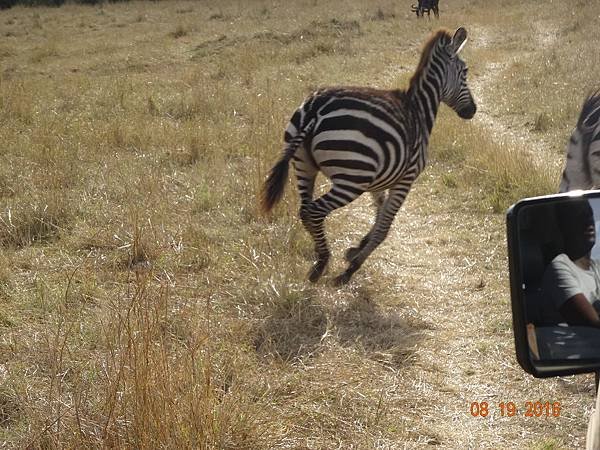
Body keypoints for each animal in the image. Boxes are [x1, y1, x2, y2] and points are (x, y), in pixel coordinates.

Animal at [260, 27, 476, 284]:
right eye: (465, 72)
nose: (472, 111)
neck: (420, 110)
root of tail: (316, 109)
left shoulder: (379, 180)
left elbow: (379, 213)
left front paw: (357, 247)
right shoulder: (405, 180)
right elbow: (384, 226)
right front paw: (352, 266)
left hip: (304, 165)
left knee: (304, 210)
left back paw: (319, 257)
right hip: (351, 179)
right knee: (314, 211)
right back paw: (322, 263)